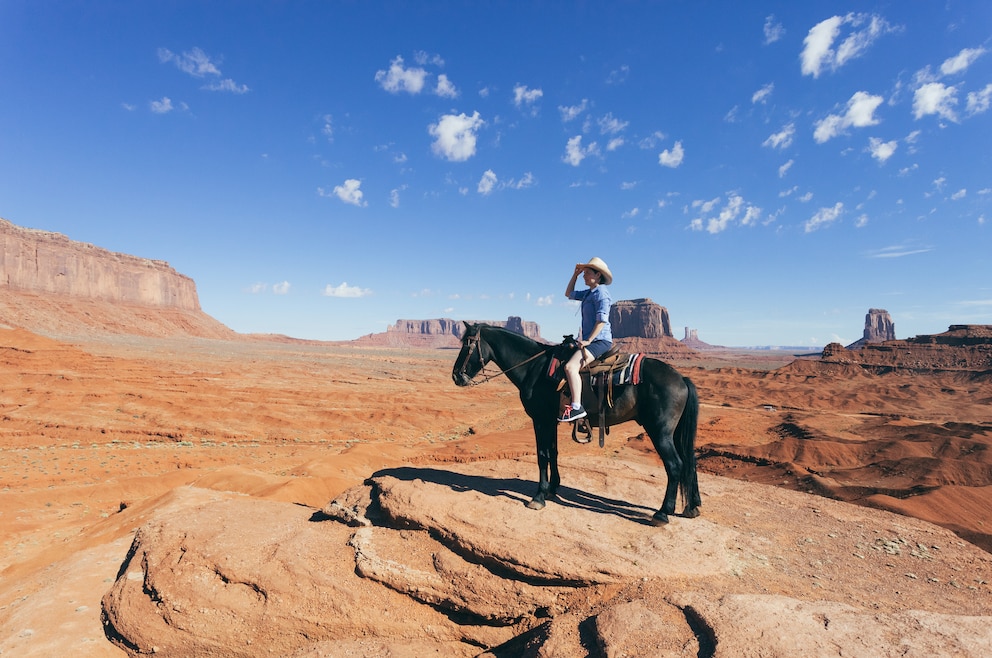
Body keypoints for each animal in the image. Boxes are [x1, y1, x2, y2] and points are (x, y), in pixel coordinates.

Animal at [454, 320, 700, 524]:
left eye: (467, 344)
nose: (456, 376)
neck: (533, 368)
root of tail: (681, 378)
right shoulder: (551, 421)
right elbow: (553, 452)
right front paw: (553, 487)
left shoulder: (540, 420)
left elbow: (542, 455)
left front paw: (539, 496)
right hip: (674, 433)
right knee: (688, 461)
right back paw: (692, 507)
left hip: (660, 432)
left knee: (675, 465)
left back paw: (663, 513)